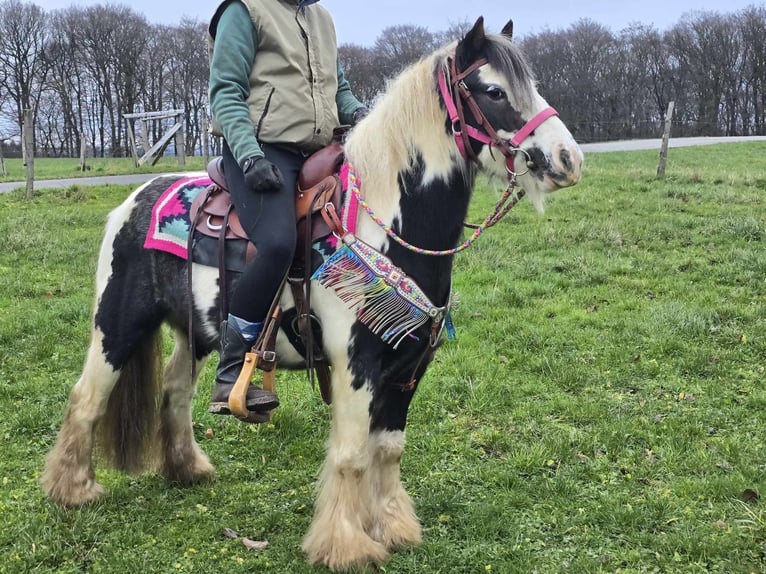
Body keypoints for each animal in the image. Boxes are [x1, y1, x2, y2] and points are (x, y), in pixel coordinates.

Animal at [40, 16, 584, 572]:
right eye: (494, 91)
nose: (568, 159)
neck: (381, 225)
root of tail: (134, 198)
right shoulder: (356, 366)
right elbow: (351, 455)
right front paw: (346, 545)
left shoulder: (408, 367)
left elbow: (389, 448)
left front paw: (394, 527)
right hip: (118, 324)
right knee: (87, 396)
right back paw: (73, 490)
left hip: (195, 334)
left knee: (174, 390)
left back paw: (187, 468)